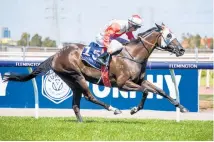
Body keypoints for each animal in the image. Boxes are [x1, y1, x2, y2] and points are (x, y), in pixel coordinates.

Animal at [2, 23, 187, 122]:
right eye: (169, 35)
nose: (182, 49)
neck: (133, 55)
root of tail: (57, 54)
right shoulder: (123, 84)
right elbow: (147, 91)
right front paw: (134, 109)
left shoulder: (139, 80)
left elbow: (161, 91)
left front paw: (181, 107)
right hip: (76, 76)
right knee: (89, 96)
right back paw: (113, 109)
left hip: (72, 81)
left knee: (76, 104)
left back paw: (81, 122)